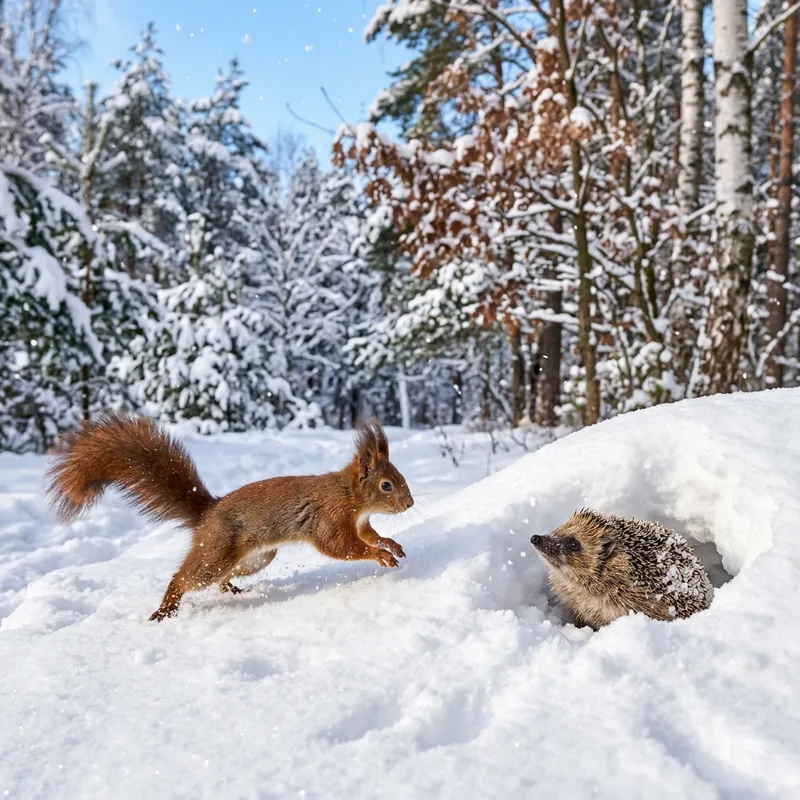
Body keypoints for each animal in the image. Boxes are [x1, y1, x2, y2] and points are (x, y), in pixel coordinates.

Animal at [45, 412, 414, 622]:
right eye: (386, 485)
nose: (410, 503)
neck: (350, 496)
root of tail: (207, 511)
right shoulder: (329, 519)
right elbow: (341, 546)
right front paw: (379, 555)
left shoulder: (360, 522)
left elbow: (370, 535)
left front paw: (391, 545)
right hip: (217, 551)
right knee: (185, 578)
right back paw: (165, 611)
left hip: (256, 557)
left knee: (222, 579)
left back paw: (233, 590)